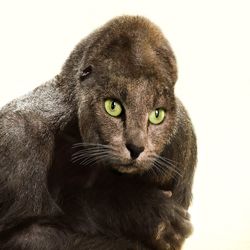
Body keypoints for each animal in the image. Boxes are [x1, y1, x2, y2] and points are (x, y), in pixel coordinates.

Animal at [0, 16, 196, 250]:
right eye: (113, 107)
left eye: (157, 115)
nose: (136, 148)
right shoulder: (18, 139)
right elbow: (25, 235)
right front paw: (140, 209)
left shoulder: (183, 138)